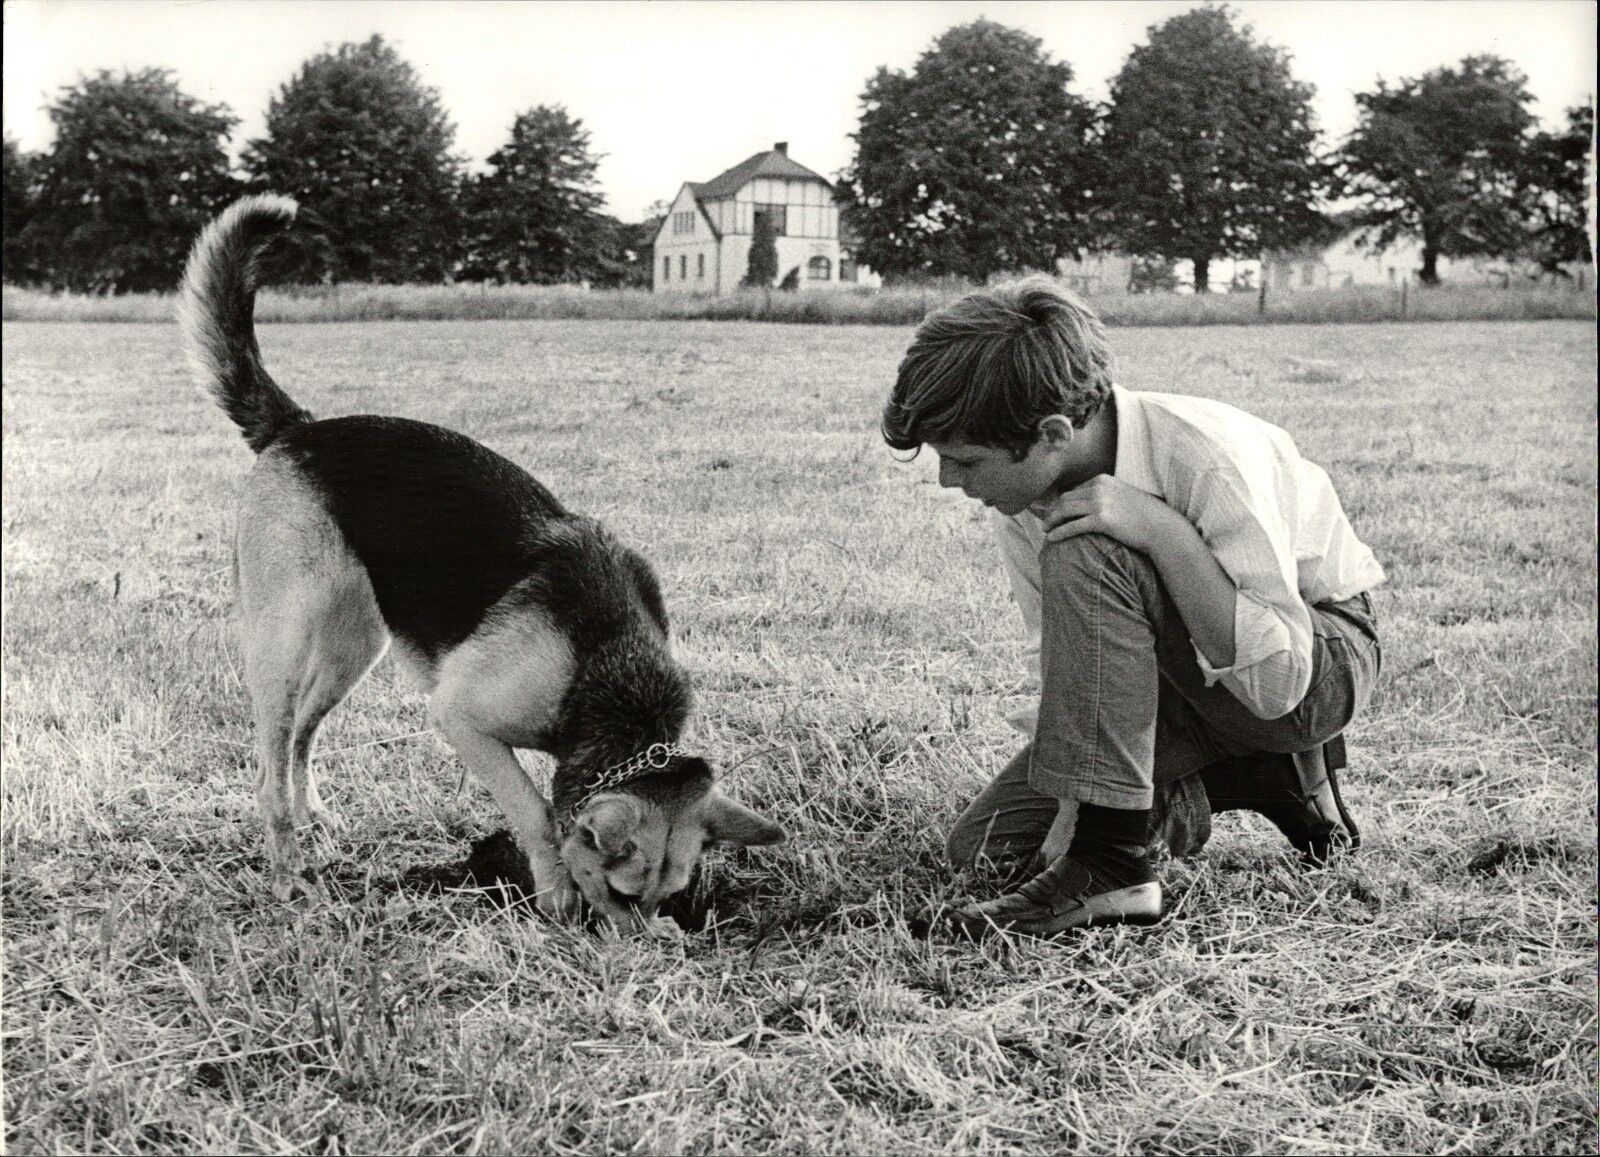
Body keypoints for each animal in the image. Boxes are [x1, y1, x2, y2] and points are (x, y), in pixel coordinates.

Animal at [181, 194, 787, 934]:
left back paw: (315, 820)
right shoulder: (461, 718)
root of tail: (299, 427)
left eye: (666, 896)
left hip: (356, 648)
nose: (639, 949)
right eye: (619, 890)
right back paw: (288, 874)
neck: (608, 663)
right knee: (270, 765)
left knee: (301, 739)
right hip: (284, 643)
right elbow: (533, 806)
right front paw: (553, 890)